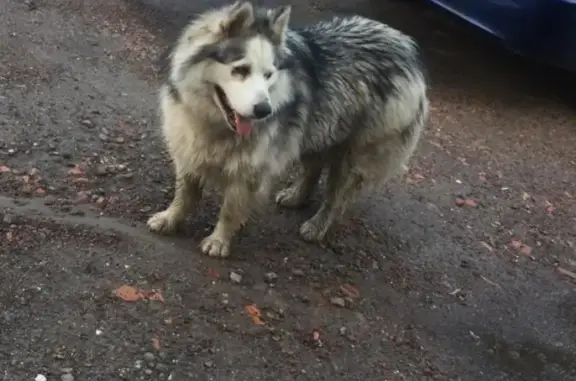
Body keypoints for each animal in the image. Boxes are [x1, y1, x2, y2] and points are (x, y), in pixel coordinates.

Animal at [148, 1, 428, 256]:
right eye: (241, 70)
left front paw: (220, 239)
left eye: (269, 75)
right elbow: (185, 193)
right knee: (313, 168)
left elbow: (230, 209)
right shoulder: (189, 148)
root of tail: (404, 44)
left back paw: (318, 224)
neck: (216, 123)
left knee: (337, 196)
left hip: (356, 153)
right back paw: (297, 196)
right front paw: (171, 217)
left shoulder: (250, 170)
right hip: (317, 130)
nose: (264, 110)